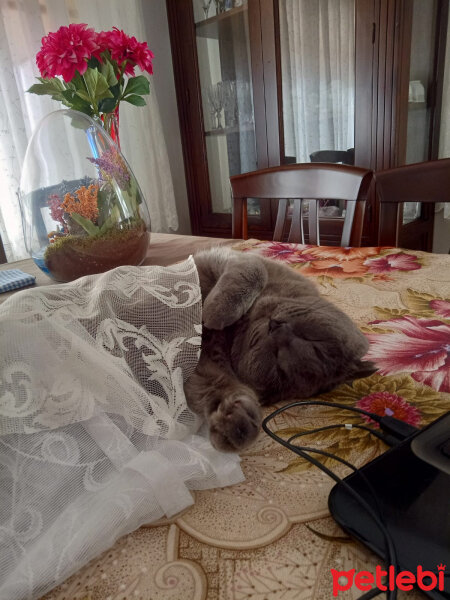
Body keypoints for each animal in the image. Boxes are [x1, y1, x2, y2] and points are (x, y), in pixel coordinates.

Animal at [185, 246, 374, 452]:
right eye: (314, 339)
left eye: (278, 366)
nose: (276, 328)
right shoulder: (230, 258)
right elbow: (255, 270)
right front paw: (216, 312)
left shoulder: (204, 366)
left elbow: (217, 386)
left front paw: (236, 421)